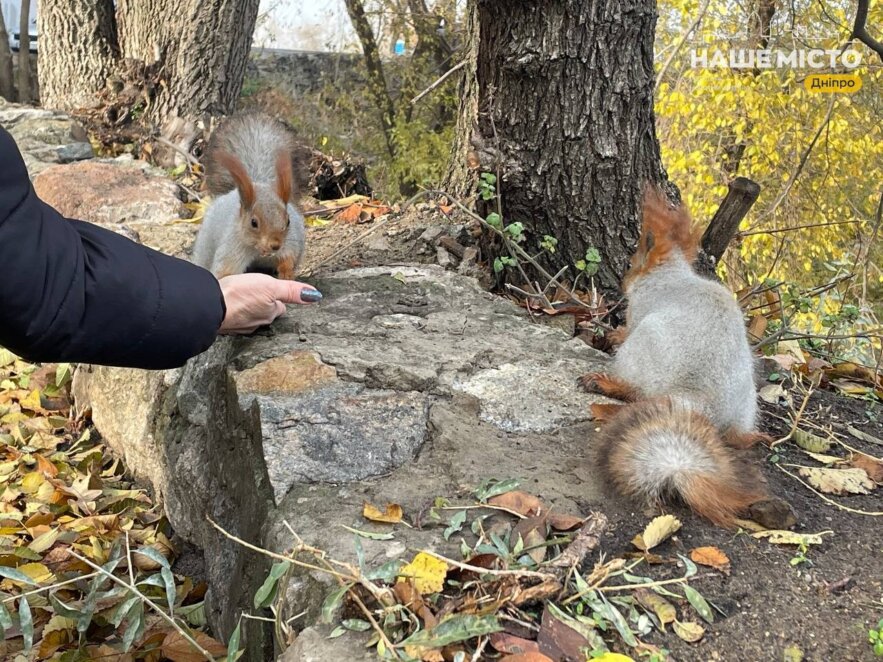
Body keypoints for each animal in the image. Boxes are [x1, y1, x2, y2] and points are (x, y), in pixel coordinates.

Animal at [192, 113, 306, 278]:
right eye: (253, 222)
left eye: (288, 221)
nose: (275, 245)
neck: (258, 250)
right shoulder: (234, 247)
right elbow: (226, 272)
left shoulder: (290, 242)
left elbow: (289, 258)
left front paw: (286, 273)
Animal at [580, 187, 796, 528]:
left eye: (630, 264)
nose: (621, 283)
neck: (670, 272)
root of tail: (702, 406)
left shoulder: (639, 310)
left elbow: (628, 328)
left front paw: (615, 335)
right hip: (748, 401)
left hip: (644, 348)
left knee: (637, 391)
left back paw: (606, 383)